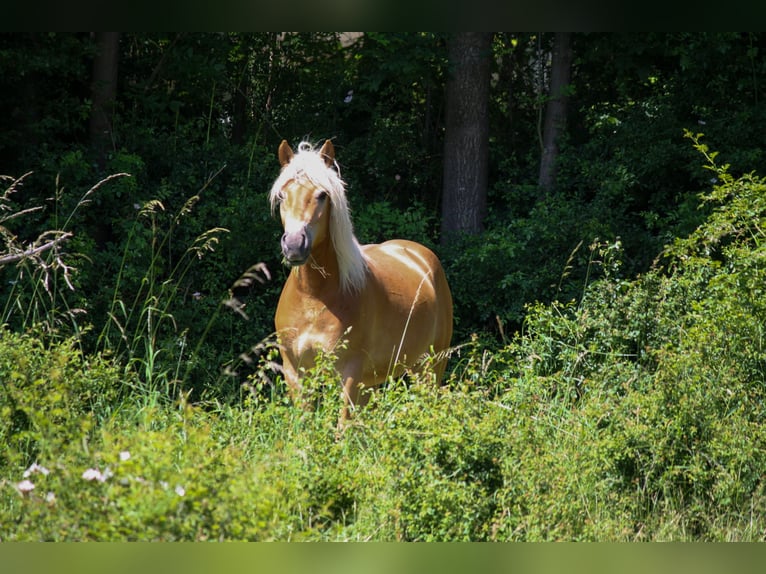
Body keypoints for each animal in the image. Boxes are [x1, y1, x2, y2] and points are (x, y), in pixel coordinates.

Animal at [270, 138, 452, 428]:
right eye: (283, 195)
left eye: (322, 195)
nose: (295, 244)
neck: (314, 298)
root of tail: (419, 255)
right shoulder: (296, 372)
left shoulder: (350, 375)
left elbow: (342, 429)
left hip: (430, 367)